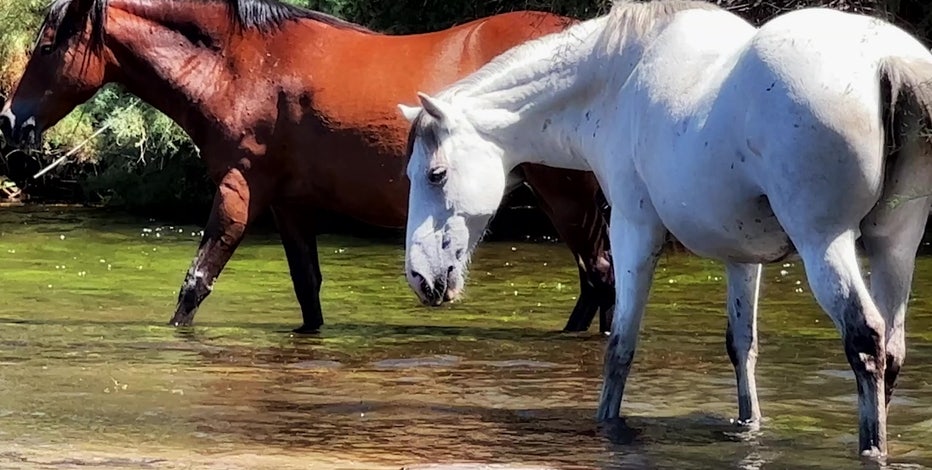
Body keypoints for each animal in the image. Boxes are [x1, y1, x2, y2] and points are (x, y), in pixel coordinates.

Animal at [0, 0, 616, 334]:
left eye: (49, 45)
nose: (10, 121)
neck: (239, 65)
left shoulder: (240, 189)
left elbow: (195, 282)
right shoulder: (290, 203)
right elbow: (308, 289)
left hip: (568, 196)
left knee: (604, 276)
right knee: (594, 281)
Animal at [399, 0, 932, 457]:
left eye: (435, 174)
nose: (421, 278)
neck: (617, 81)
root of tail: (888, 59)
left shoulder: (633, 232)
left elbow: (619, 348)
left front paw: (606, 424)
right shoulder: (743, 258)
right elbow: (743, 348)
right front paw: (748, 427)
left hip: (824, 242)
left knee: (865, 339)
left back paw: (871, 449)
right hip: (893, 248)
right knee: (891, 350)